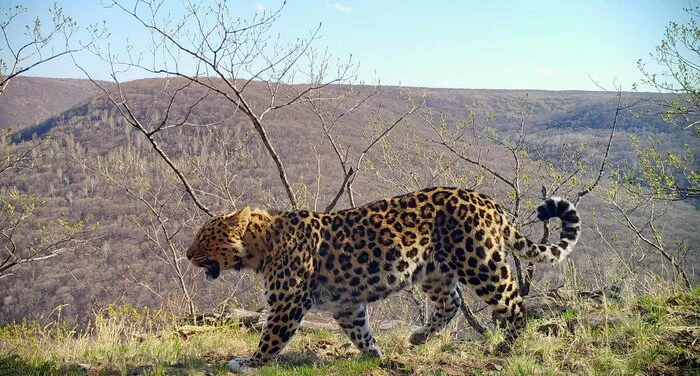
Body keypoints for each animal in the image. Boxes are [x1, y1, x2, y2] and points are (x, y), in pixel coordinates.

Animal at [185, 187, 580, 372]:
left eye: (204, 237)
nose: (187, 255)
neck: (261, 245)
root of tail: (488, 201)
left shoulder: (288, 302)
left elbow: (270, 339)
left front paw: (248, 363)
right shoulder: (346, 304)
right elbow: (360, 330)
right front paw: (375, 355)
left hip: (479, 263)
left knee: (514, 301)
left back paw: (506, 346)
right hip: (433, 271)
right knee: (451, 303)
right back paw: (418, 337)